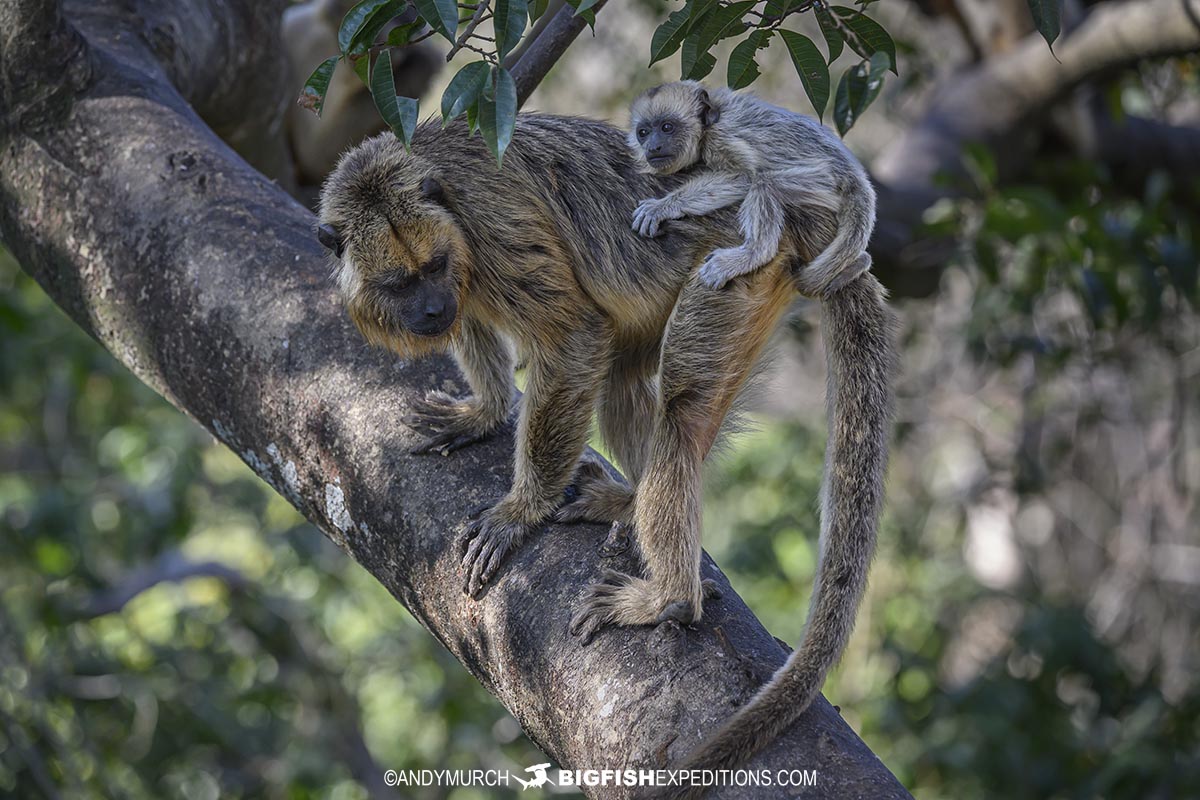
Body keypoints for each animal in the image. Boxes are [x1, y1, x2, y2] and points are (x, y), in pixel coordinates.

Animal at [316, 113, 895, 786]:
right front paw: (484, 411)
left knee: (680, 413)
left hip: (737, 273)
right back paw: (628, 501)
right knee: (622, 379)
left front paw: (522, 510)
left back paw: (669, 597)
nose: (433, 308)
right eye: (401, 282)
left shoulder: (491, 227)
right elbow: (479, 323)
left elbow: (572, 336)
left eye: (433, 266)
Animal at [628, 80, 876, 297]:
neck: (709, 125)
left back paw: (753, 253)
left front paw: (664, 206)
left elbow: (745, 175)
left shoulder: (722, 138)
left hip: (826, 182)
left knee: (766, 183)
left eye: (667, 127)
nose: (653, 147)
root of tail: (856, 177)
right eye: (643, 133)